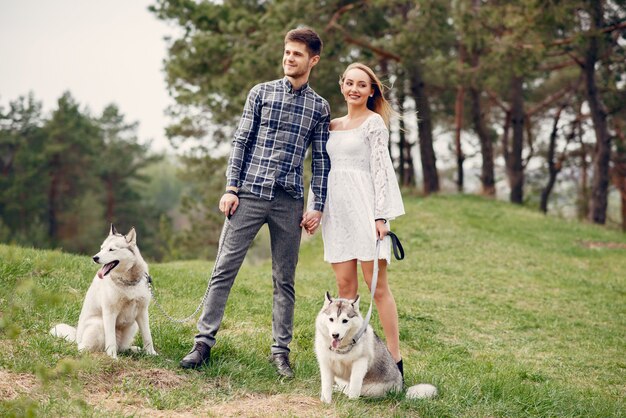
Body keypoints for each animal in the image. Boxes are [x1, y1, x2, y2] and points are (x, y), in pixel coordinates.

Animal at [51, 225, 158, 360]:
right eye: (101, 248)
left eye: (111, 249)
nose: (95, 258)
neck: (128, 282)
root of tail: (77, 338)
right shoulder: (109, 312)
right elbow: (111, 340)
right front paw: (112, 357)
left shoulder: (142, 312)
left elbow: (148, 337)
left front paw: (151, 353)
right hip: (99, 324)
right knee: (83, 348)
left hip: (133, 325)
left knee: (122, 347)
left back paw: (134, 349)